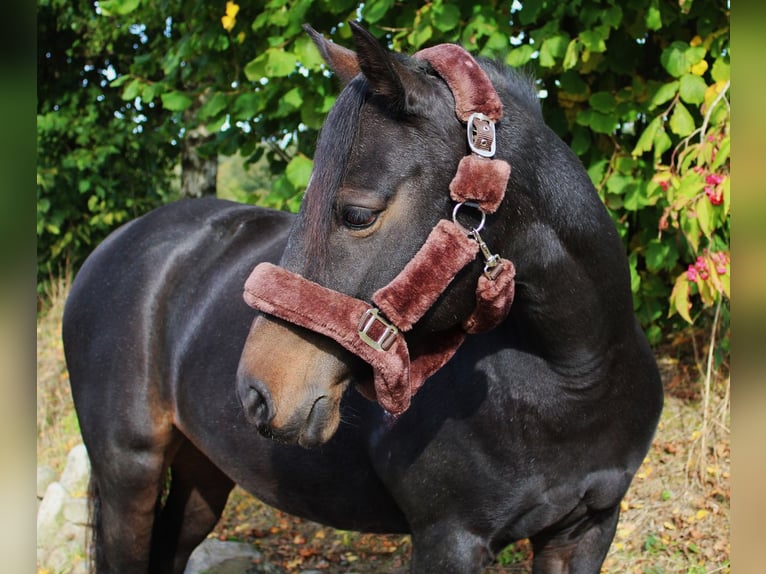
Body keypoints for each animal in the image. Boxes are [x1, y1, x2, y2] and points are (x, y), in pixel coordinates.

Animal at [66, 21, 664, 572]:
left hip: (202, 471)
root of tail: (113, 246)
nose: (257, 393)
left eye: (357, 214)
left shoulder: (586, 529)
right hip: (129, 473)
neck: (574, 378)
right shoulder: (450, 539)